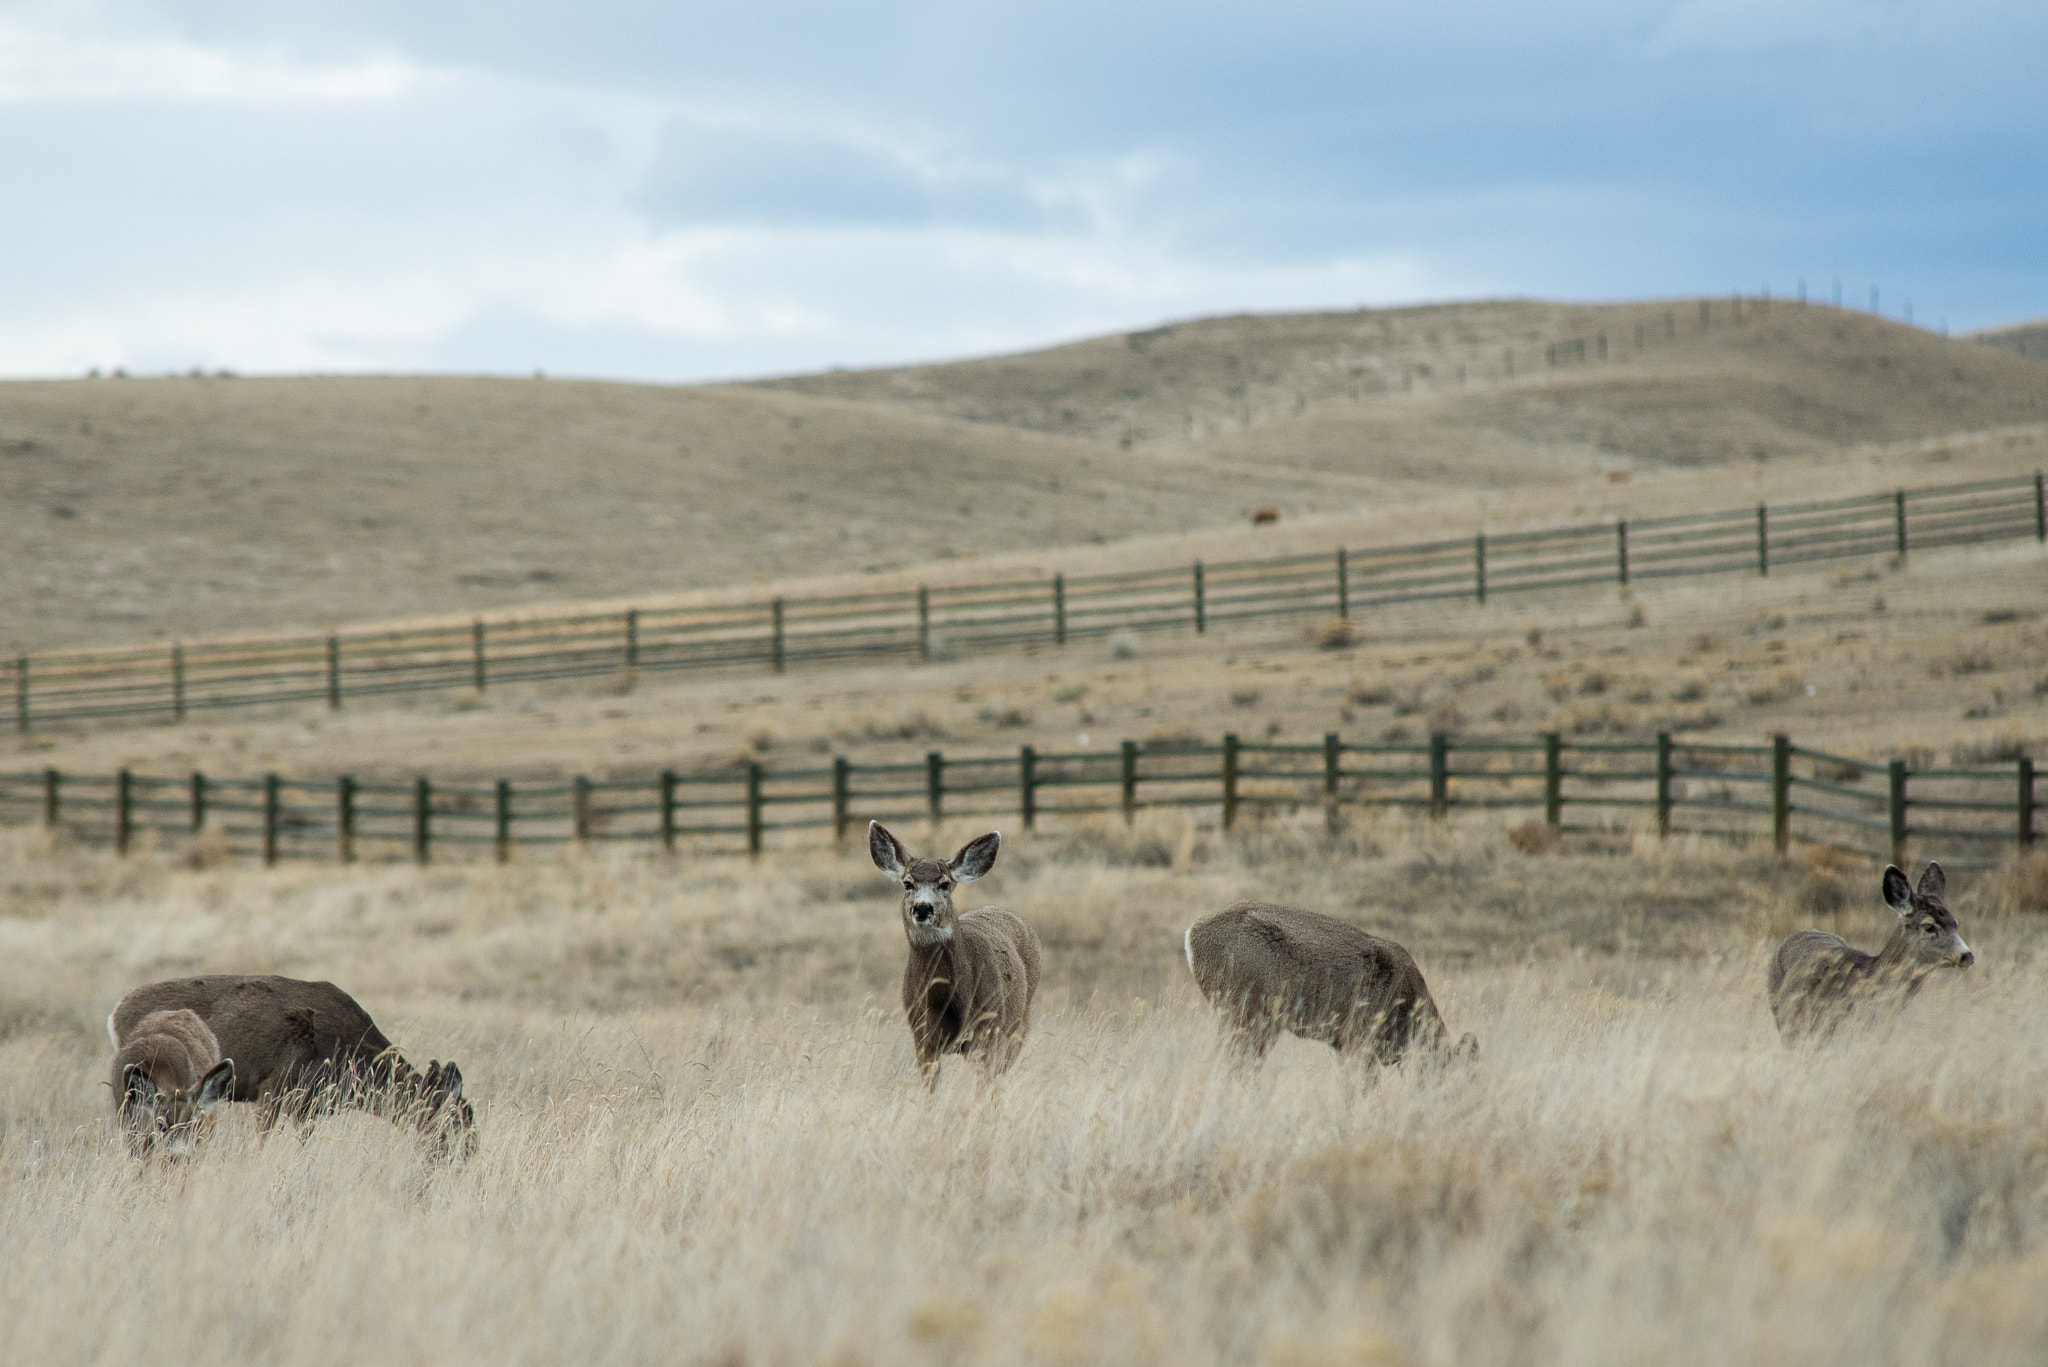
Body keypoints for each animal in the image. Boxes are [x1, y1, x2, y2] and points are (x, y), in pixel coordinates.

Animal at [868, 821, 1042, 1088]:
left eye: (945, 884)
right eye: (907, 883)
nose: (922, 908)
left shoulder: (986, 1029)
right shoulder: (922, 1036)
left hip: (1018, 1023)